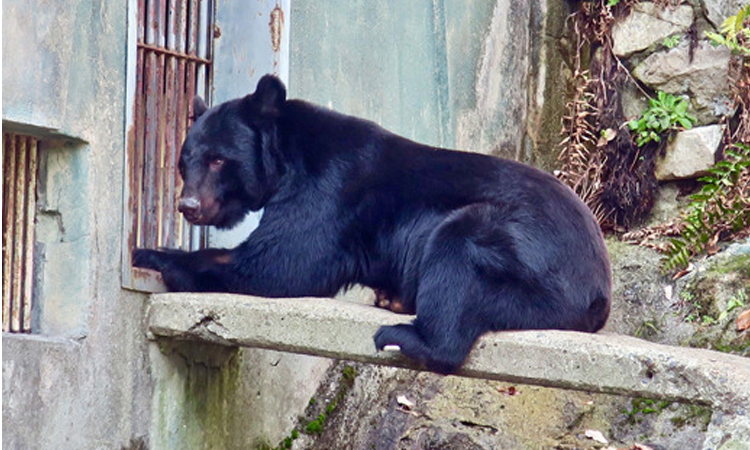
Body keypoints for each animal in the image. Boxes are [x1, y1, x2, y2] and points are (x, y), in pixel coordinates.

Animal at [134, 74, 611, 374]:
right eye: (184, 162)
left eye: (219, 160)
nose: (188, 205)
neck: (285, 156)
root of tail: (598, 292)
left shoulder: (329, 190)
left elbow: (281, 264)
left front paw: (150, 253)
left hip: (523, 260)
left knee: (458, 253)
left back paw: (403, 334)